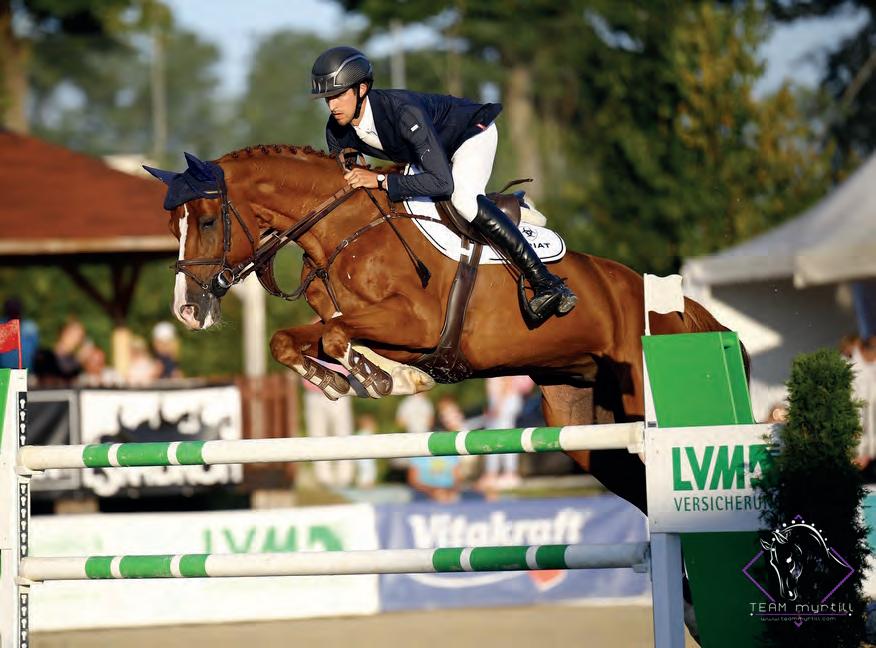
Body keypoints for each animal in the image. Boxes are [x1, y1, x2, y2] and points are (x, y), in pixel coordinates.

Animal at [145, 145, 738, 515]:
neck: (343, 228)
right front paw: (343, 380)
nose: (187, 311)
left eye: (204, 222)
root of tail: (677, 308)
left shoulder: (415, 323)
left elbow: (337, 336)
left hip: (637, 397)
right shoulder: (351, 319)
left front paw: (377, 378)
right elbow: (291, 339)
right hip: (583, 422)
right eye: (173, 224)